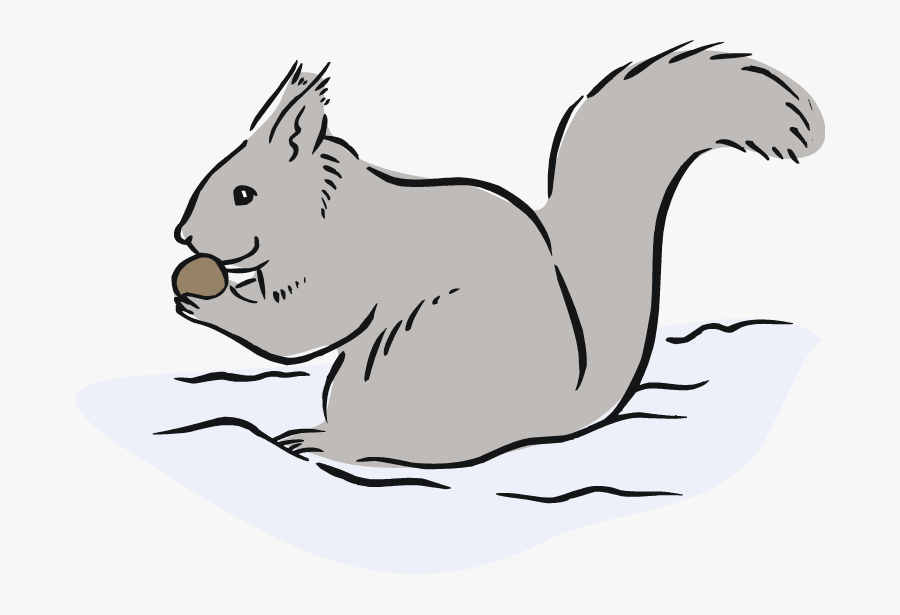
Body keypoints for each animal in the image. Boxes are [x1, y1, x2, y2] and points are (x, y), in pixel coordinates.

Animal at [173, 42, 824, 469]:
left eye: (244, 194)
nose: (184, 236)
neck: (319, 209)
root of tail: (554, 414)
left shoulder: (344, 266)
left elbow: (300, 328)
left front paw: (207, 303)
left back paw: (326, 442)